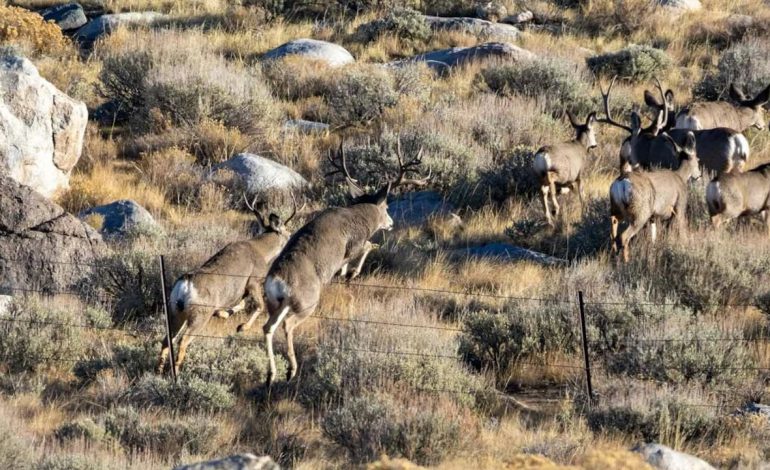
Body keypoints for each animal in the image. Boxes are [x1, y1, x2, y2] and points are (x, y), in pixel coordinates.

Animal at [157, 197, 301, 375]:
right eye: (288, 233)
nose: (292, 239)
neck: (261, 251)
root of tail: (185, 284)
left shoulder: (241, 290)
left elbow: (241, 304)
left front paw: (223, 314)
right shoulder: (253, 280)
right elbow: (259, 306)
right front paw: (242, 327)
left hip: (175, 310)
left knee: (167, 338)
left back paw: (158, 371)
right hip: (199, 314)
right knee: (183, 340)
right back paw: (175, 373)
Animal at [261, 138, 430, 386]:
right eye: (387, 207)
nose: (390, 223)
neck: (359, 216)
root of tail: (277, 280)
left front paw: (346, 274)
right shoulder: (353, 246)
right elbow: (367, 247)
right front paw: (352, 273)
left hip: (275, 303)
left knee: (268, 327)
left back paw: (271, 374)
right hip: (306, 301)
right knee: (287, 325)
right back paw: (291, 369)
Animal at [609, 132, 701, 262]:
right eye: (698, 159)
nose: (699, 176)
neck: (680, 177)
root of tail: (622, 182)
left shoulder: (653, 216)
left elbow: (653, 235)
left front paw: (653, 249)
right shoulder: (679, 206)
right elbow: (682, 229)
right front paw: (686, 246)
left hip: (616, 208)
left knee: (613, 230)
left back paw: (614, 256)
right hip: (640, 212)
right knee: (624, 236)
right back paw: (626, 261)